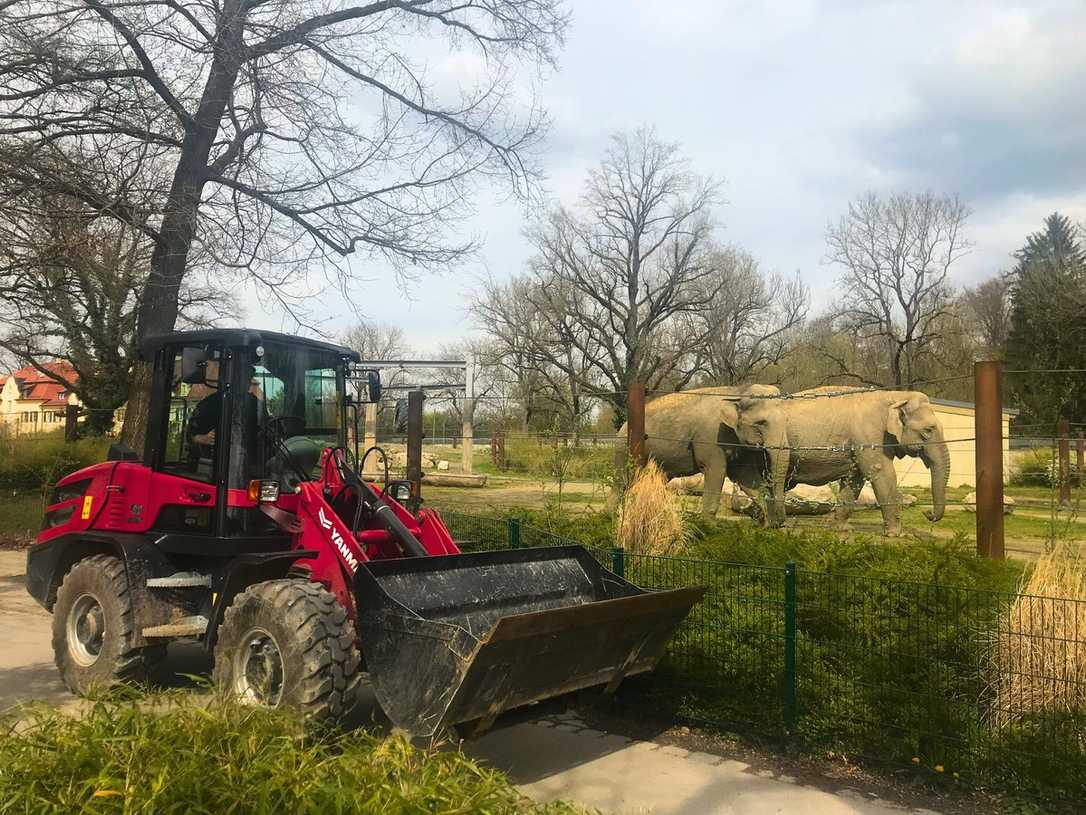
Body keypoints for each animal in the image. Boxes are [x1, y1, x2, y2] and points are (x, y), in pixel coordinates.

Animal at [612, 384, 781, 517]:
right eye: (761, 423)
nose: (779, 522)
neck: (737, 391)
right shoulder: (710, 437)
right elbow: (716, 470)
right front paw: (708, 527)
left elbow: (745, 476)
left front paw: (767, 525)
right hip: (625, 448)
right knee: (623, 482)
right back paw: (611, 517)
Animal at [729, 386, 951, 536]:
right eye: (928, 430)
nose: (928, 514)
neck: (895, 396)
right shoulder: (869, 436)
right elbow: (881, 473)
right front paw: (895, 534)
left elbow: (854, 479)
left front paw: (843, 529)